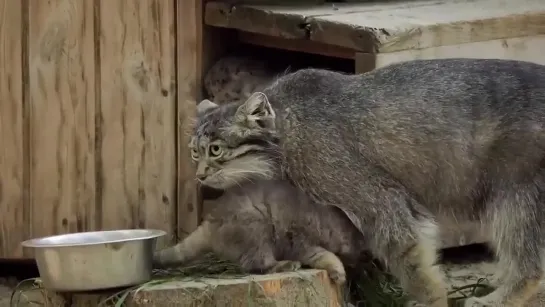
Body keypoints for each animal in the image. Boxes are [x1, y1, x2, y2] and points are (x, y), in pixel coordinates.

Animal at [153, 100, 366, 286]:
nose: (359, 258)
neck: (324, 218)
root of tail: (210, 223)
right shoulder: (299, 241)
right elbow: (321, 254)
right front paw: (337, 269)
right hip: (254, 228)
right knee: (256, 262)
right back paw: (280, 265)